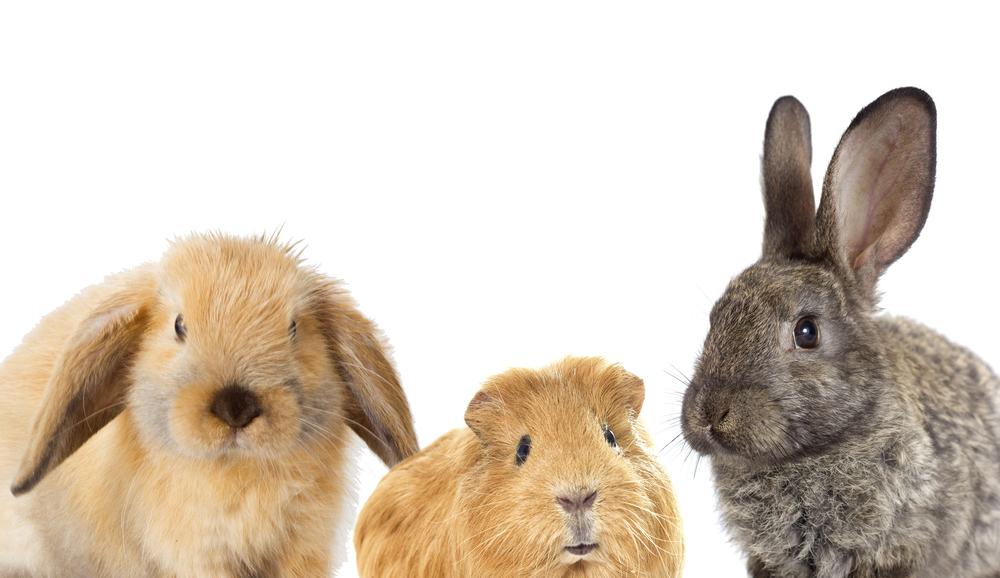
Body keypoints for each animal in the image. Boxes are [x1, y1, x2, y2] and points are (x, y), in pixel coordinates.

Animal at [0, 232, 418, 572]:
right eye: (179, 326)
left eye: (293, 328)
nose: (236, 406)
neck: (235, 469)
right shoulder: (193, 554)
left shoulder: (302, 548)